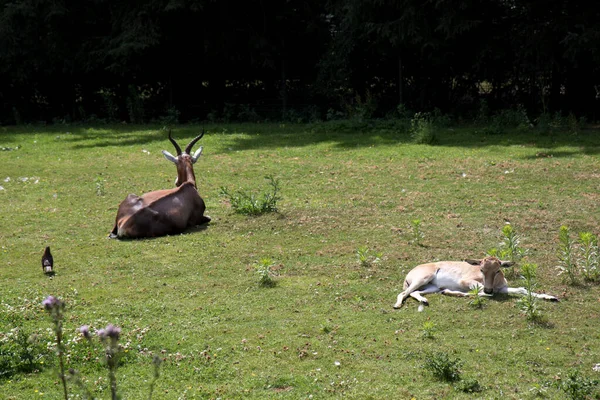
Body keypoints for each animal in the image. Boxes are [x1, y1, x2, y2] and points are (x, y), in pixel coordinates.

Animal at [394, 256, 556, 310]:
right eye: (482, 269)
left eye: (498, 270)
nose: (490, 289)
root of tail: (410, 272)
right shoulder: (467, 281)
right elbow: (480, 292)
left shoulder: (502, 289)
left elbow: (522, 290)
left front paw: (551, 297)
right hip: (423, 278)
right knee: (403, 293)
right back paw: (397, 305)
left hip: (430, 287)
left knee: (414, 292)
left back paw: (425, 300)